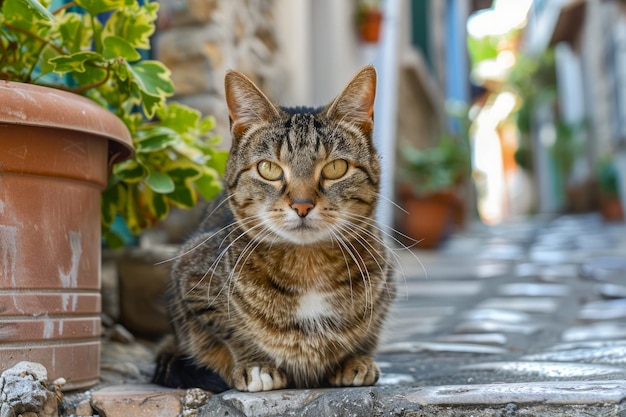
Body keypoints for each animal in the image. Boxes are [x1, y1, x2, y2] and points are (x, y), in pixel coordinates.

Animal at [152, 66, 394, 392]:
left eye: (336, 168)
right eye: (269, 169)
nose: (302, 205)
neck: (308, 265)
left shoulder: (386, 286)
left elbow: (368, 331)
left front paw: (356, 359)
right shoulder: (189, 278)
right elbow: (228, 331)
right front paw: (255, 365)